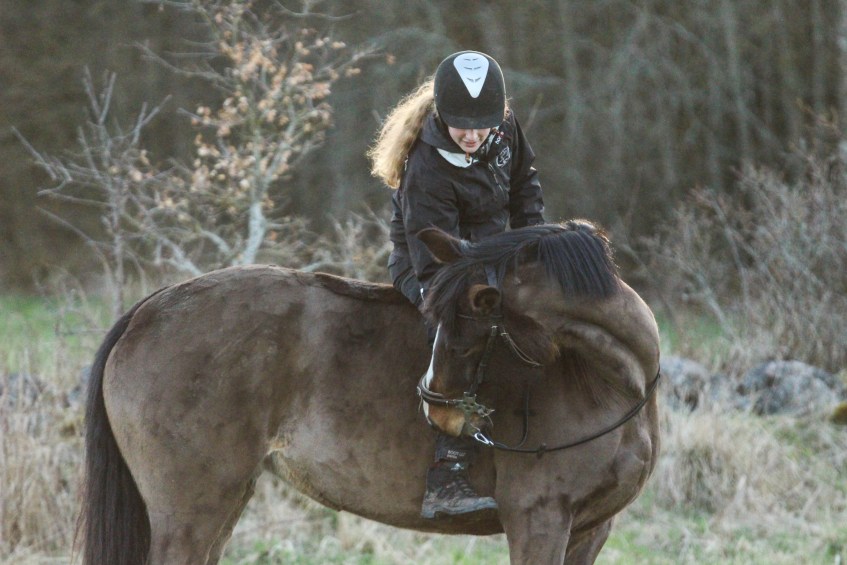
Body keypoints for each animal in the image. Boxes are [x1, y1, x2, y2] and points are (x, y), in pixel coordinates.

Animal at [77, 220, 661, 565]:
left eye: (470, 325)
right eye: (438, 321)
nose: (436, 412)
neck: (608, 381)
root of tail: (147, 311)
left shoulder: (589, 529)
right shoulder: (538, 519)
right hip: (190, 509)